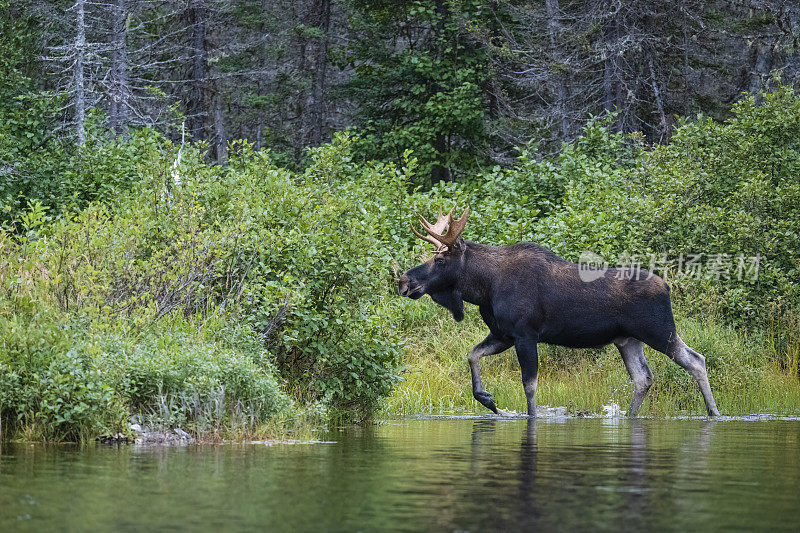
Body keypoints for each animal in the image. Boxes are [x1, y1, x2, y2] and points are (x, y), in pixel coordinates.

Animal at [396, 206, 720, 418]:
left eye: (439, 260)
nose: (404, 281)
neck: (484, 288)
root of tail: (666, 286)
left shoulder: (525, 333)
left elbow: (529, 386)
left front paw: (530, 415)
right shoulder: (503, 334)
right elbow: (472, 355)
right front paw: (488, 399)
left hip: (659, 330)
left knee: (696, 360)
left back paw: (713, 412)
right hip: (628, 339)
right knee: (644, 377)